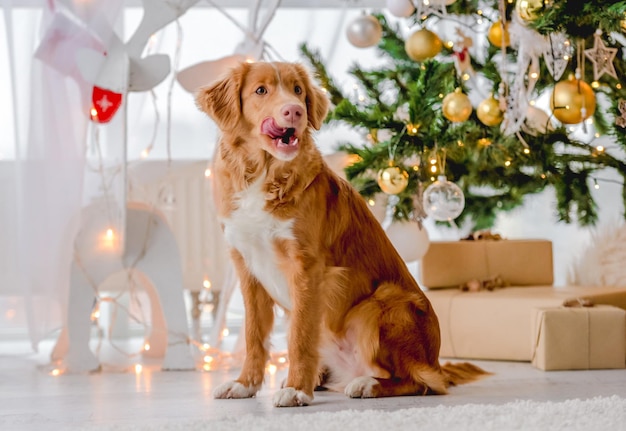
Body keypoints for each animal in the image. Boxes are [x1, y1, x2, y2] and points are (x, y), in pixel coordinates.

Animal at [196, 60, 488, 408]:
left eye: (298, 90)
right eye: (261, 90)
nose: (295, 111)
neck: (265, 174)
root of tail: (435, 362)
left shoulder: (307, 269)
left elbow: (299, 337)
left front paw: (296, 389)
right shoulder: (248, 269)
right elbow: (254, 335)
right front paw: (245, 384)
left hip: (381, 303)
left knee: (422, 382)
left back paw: (367, 384)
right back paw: (324, 379)